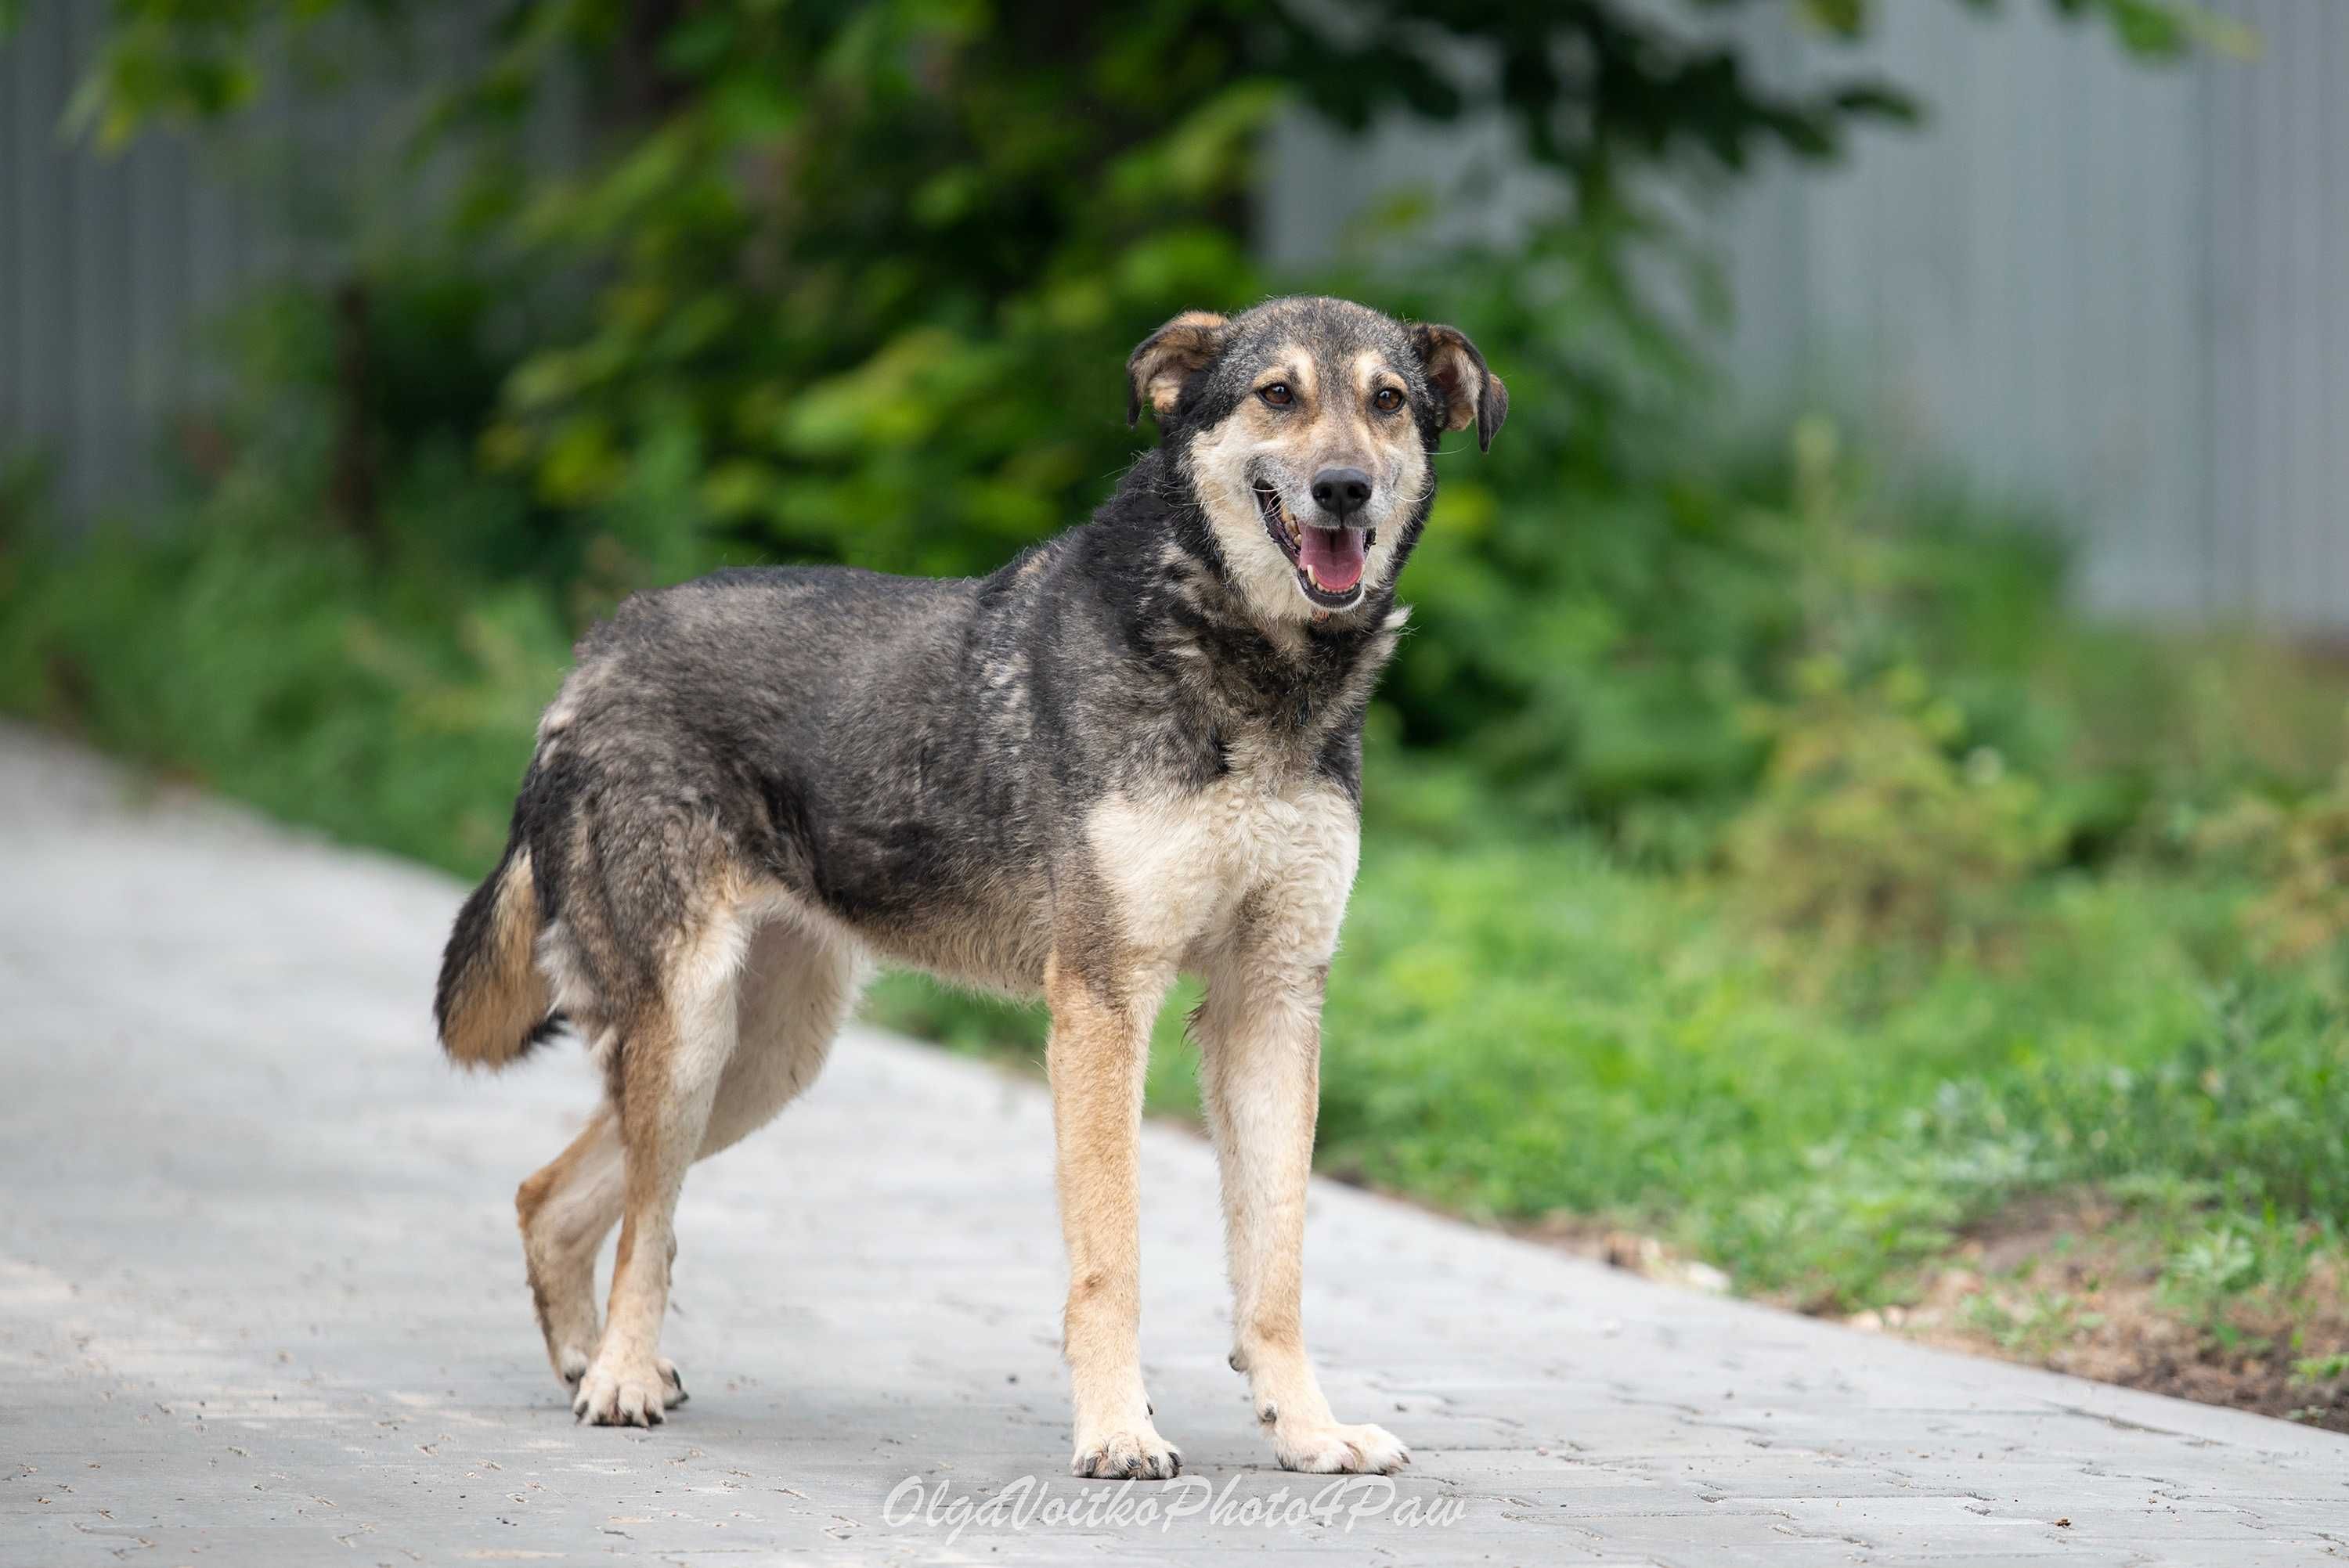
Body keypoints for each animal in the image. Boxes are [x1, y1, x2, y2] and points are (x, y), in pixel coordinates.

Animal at [435, 297, 1513, 1483]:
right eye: (1279, 394)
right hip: (693, 1033)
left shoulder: (1272, 1000)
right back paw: (621, 1376)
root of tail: (596, 651)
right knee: (644, 1219)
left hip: (765, 1059)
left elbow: (1276, 1267)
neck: (1253, 675)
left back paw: (592, 1363)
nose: (1344, 488)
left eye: (1387, 402)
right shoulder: (1102, 1001)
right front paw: (1118, 1431)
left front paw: (1310, 1430)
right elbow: (1112, 1259)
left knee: (558, 1195)